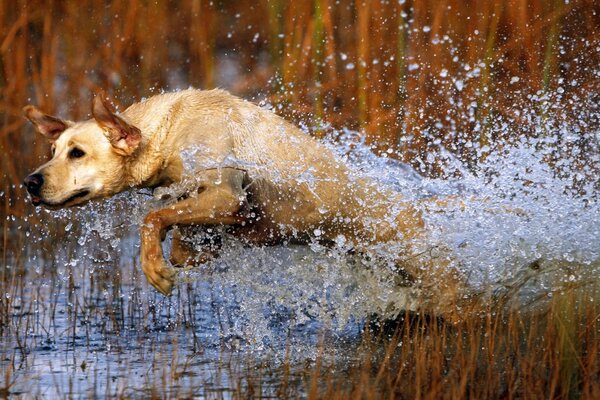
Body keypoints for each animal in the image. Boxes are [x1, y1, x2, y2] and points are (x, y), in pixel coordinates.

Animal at [22, 89, 468, 318]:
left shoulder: (227, 190)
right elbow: (180, 237)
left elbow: (153, 217)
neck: (167, 132)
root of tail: (420, 211)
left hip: (438, 282)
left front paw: (154, 268)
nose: (30, 182)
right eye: (53, 150)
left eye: (77, 153)